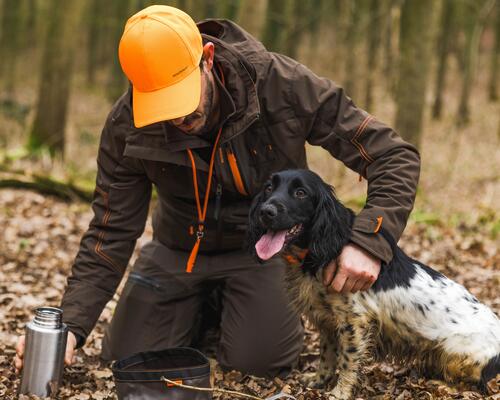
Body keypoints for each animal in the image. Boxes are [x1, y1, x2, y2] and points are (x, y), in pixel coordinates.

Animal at [246, 170, 500, 400]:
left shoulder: (353, 321)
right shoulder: (327, 320)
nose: (265, 211)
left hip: (456, 352)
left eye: (300, 193)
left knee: (474, 384)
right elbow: (326, 354)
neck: (320, 251)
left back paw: (442, 386)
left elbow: (348, 361)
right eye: (269, 187)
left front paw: (339, 392)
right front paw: (318, 381)